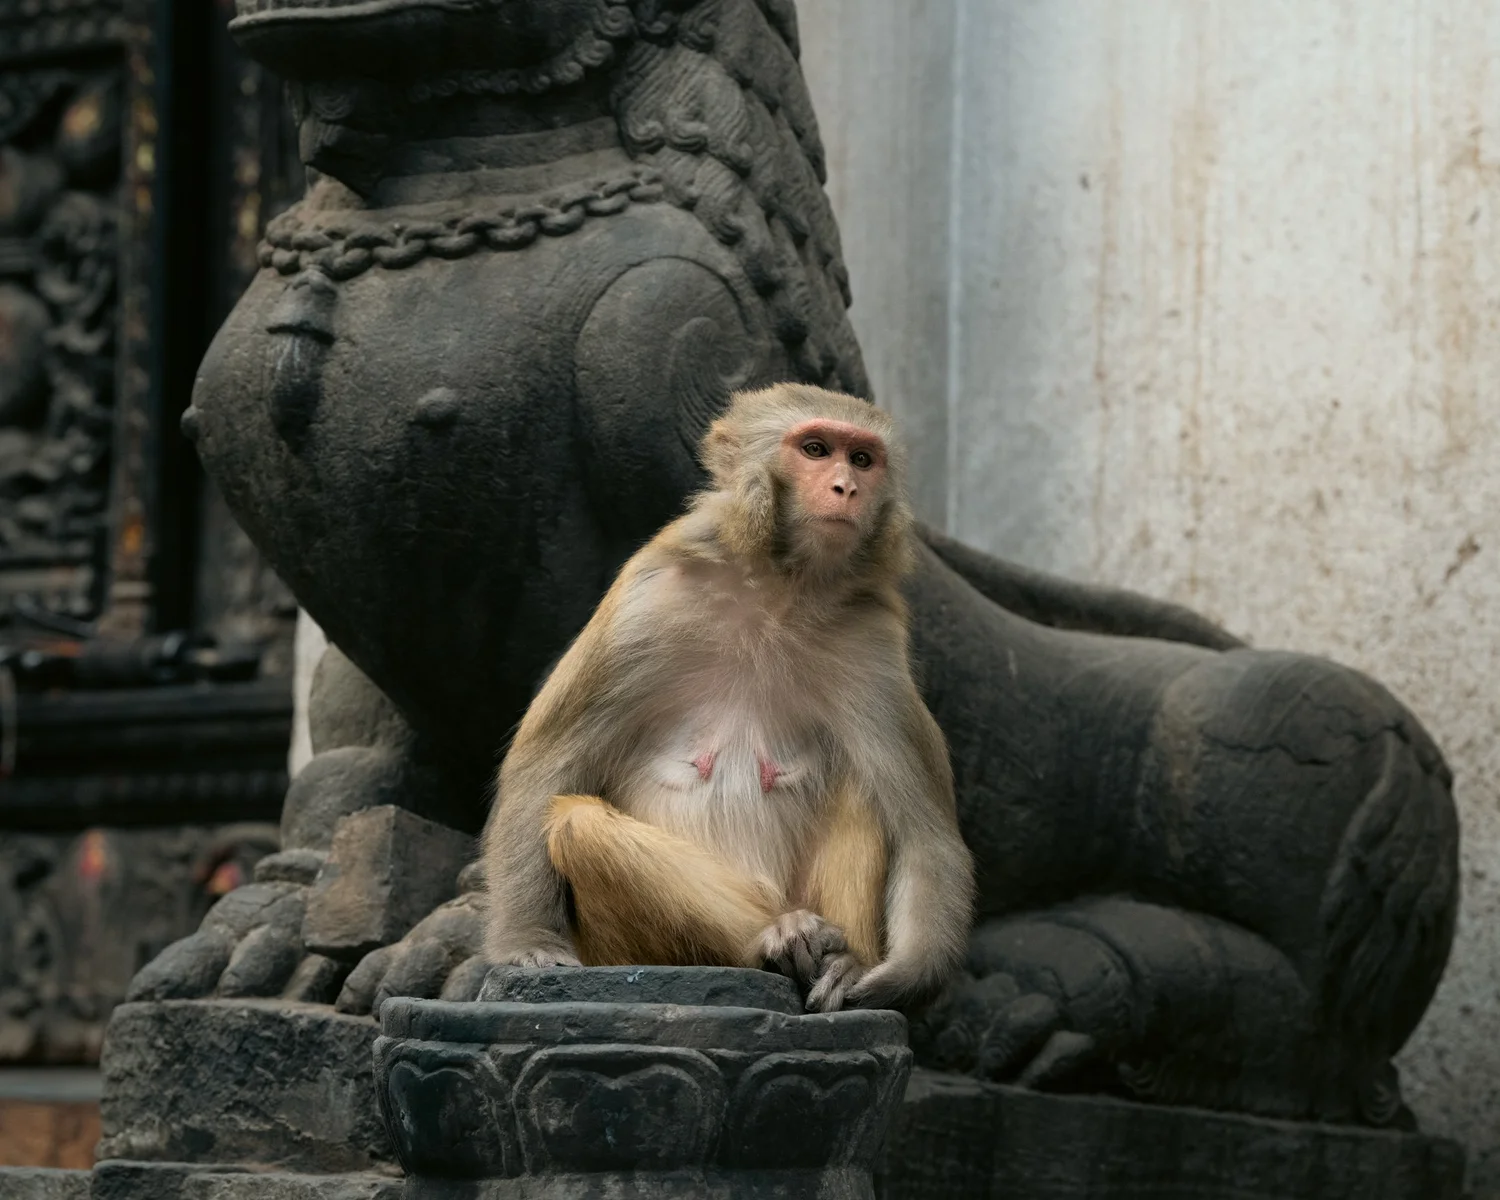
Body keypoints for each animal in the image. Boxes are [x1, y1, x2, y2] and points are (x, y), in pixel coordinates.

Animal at [481, 383, 975, 1012]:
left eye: (862, 459)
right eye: (816, 449)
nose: (847, 487)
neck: (778, 586)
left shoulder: (873, 645)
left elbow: (923, 834)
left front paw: (898, 975)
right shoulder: (647, 599)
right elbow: (544, 769)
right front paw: (529, 942)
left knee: (865, 788)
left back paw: (836, 956)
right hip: (621, 948)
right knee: (575, 824)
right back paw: (773, 937)